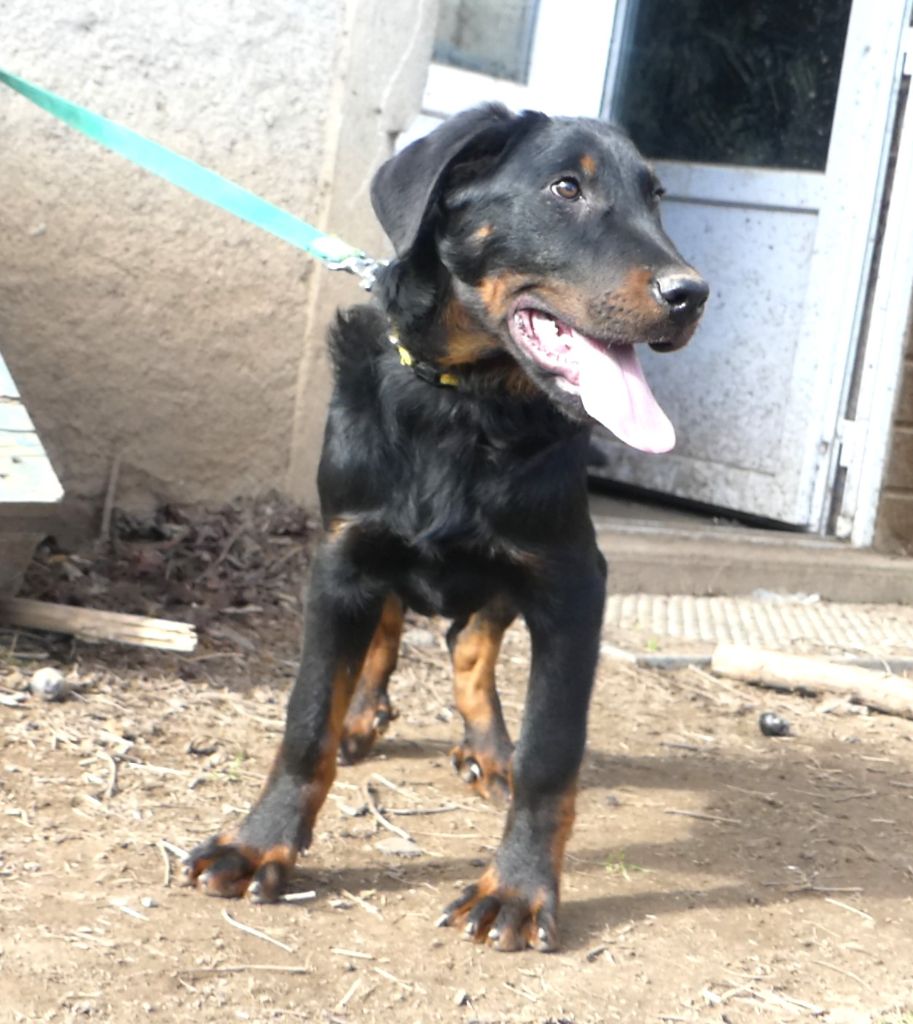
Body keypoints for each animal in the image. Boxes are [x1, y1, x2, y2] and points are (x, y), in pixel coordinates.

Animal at [183, 103, 708, 952]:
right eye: (566, 188)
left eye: (656, 197)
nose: (692, 293)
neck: (464, 403)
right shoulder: (341, 556)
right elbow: (306, 720)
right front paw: (259, 842)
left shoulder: (571, 581)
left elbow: (550, 752)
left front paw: (518, 889)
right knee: (395, 627)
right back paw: (366, 712)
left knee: (470, 644)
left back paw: (487, 747)